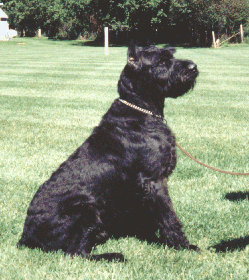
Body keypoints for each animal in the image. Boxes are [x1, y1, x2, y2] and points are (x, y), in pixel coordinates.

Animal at [17, 43, 199, 260]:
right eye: (162, 61)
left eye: (171, 55)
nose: (193, 67)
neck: (141, 110)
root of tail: (26, 235)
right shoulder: (153, 180)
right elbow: (168, 216)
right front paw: (183, 245)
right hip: (85, 212)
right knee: (76, 252)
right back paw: (113, 256)